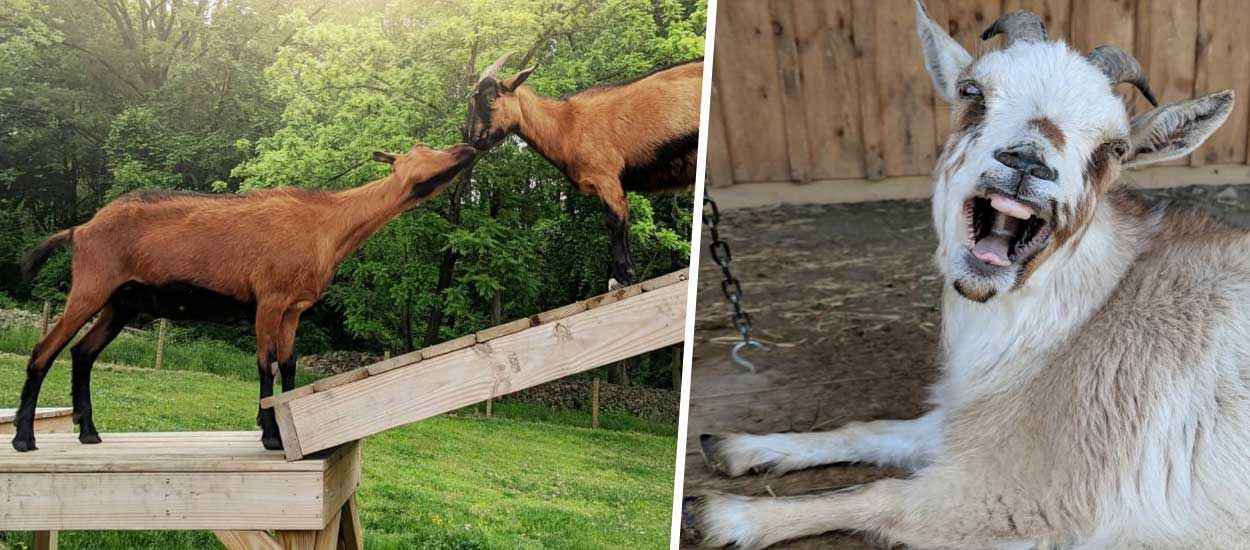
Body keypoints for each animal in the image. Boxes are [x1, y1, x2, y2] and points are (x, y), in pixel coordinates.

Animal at [12, 141, 475, 450]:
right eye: (422, 148)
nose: (467, 146)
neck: (326, 225)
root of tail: (80, 230)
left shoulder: (293, 309)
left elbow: (289, 365)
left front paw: (278, 428)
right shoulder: (268, 299)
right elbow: (265, 364)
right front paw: (269, 435)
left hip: (121, 302)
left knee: (82, 352)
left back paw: (89, 432)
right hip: (91, 286)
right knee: (44, 350)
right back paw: (24, 437)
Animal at [462, 53, 700, 290]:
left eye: (491, 99)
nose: (473, 139)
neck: (566, 125)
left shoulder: (606, 177)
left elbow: (614, 221)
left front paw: (619, 278)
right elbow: (624, 220)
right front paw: (626, 274)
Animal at [690, 2, 1245, 547]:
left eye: (1115, 148)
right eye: (972, 91)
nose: (1026, 163)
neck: (1084, 317)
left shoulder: (1031, 491)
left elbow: (880, 497)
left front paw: (727, 515)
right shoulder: (976, 422)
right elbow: (869, 429)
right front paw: (739, 447)